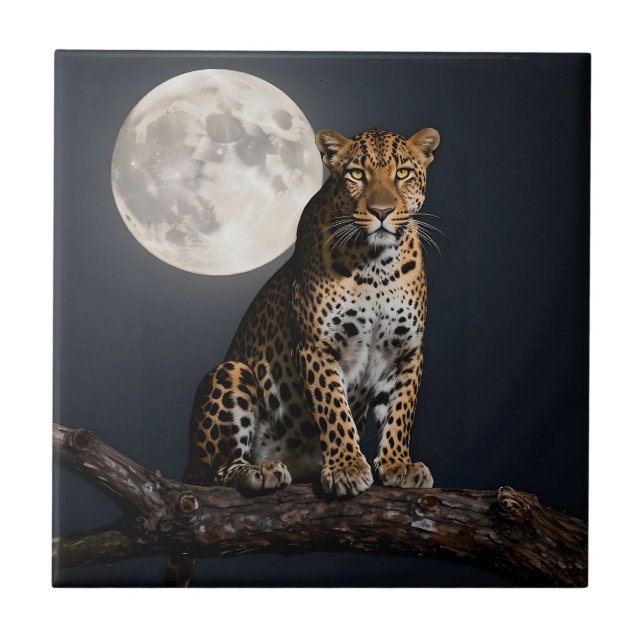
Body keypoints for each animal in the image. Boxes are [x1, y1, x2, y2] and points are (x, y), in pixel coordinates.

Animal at [164, 126, 441, 586]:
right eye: (357, 174)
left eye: (402, 173)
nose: (382, 211)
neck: (377, 266)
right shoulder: (318, 347)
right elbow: (334, 409)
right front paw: (347, 467)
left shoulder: (406, 352)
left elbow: (401, 413)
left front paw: (398, 464)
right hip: (230, 375)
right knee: (215, 475)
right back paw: (258, 471)